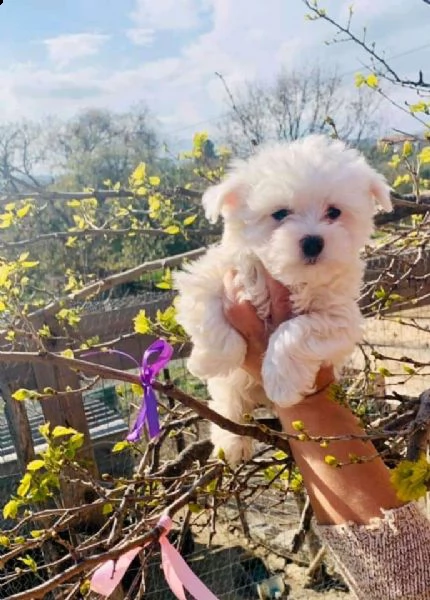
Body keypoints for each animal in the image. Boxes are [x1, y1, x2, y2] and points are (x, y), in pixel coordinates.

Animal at [175, 136, 394, 464]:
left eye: (334, 212)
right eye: (280, 214)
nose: (313, 241)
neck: (289, 277)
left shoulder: (340, 317)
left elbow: (294, 330)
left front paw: (282, 383)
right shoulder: (212, 275)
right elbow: (210, 312)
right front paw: (209, 359)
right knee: (228, 402)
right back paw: (232, 442)